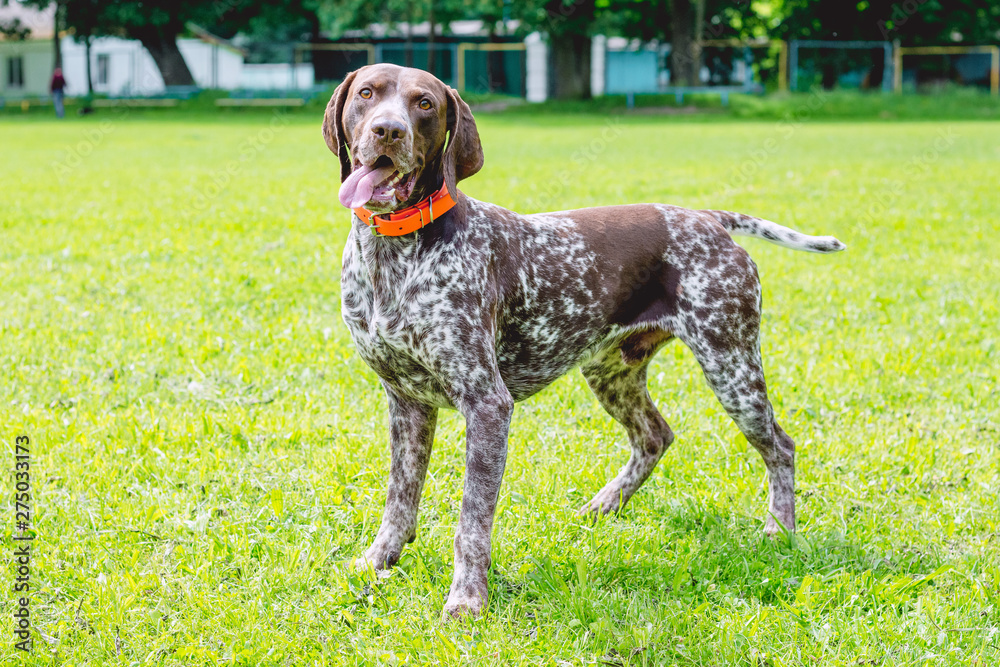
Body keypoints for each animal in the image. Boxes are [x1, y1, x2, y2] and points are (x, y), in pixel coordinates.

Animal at [322, 65, 844, 620]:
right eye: (367, 93)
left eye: (424, 104)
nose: (388, 131)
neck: (393, 254)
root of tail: (707, 218)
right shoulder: (406, 402)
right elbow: (400, 498)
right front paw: (378, 560)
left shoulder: (486, 405)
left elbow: (472, 520)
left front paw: (467, 598)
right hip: (611, 373)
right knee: (655, 435)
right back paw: (606, 504)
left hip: (732, 368)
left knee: (779, 447)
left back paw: (779, 529)